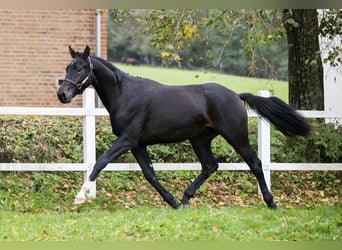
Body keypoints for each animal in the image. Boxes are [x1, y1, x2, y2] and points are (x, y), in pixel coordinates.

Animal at [56, 45, 310, 209]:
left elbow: (100, 162)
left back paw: (271, 202)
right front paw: (173, 203)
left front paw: (80, 196)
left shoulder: (127, 140)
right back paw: (185, 199)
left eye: (81, 67)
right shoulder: (138, 145)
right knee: (210, 166)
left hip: (236, 136)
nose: (62, 94)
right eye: (68, 66)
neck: (125, 94)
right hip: (199, 139)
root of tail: (235, 95)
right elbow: (150, 174)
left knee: (255, 164)